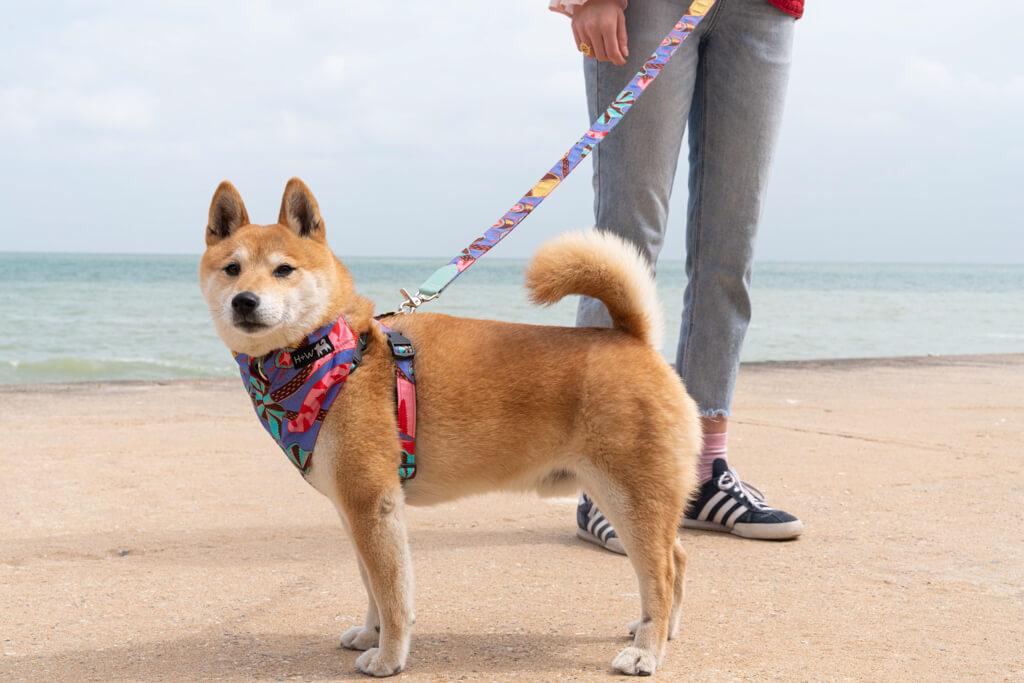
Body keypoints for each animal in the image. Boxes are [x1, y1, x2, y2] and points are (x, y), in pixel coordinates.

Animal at [196, 179, 700, 675]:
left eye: (283, 270)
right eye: (232, 269)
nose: (245, 300)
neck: (324, 355)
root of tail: (634, 339)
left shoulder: (372, 505)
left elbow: (391, 594)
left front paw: (389, 657)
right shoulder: (352, 508)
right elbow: (371, 584)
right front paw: (370, 634)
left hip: (629, 496)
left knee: (661, 572)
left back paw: (646, 651)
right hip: (626, 496)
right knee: (677, 556)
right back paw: (664, 632)